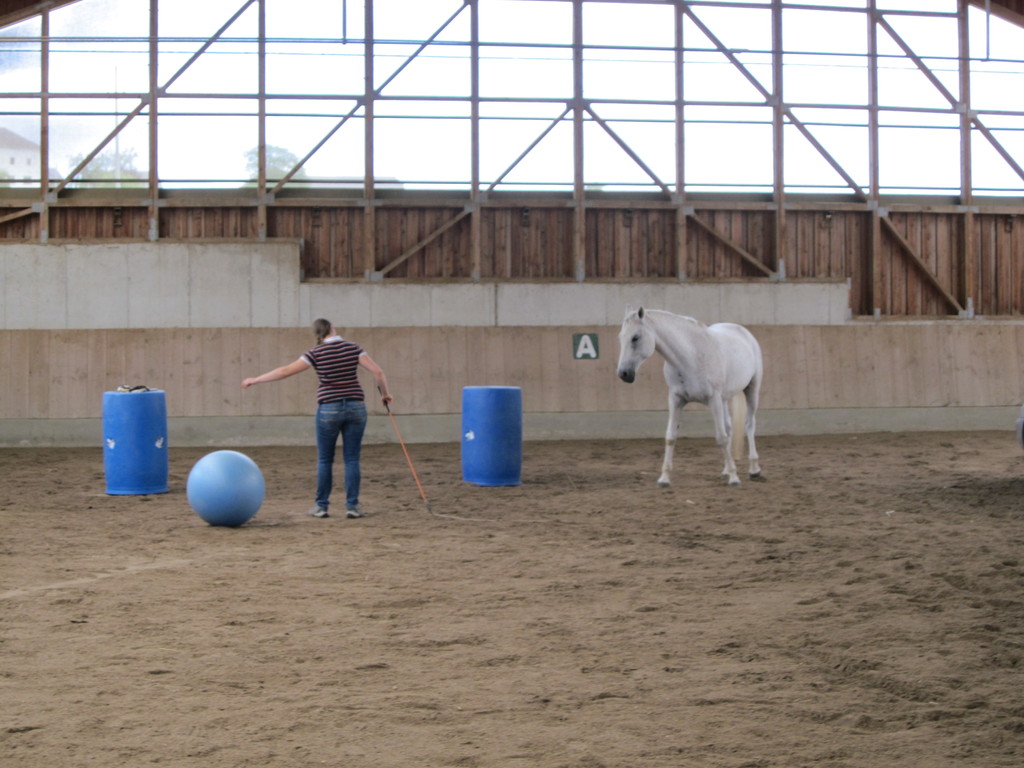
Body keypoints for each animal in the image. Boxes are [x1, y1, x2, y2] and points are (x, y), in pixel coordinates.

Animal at [614, 307, 761, 487]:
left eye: (635, 337)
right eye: (621, 337)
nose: (623, 374)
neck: (690, 357)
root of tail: (743, 331)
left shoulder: (713, 400)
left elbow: (721, 437)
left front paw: (734, 478)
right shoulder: (676, 400)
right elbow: (670, 437)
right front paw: (664, 478)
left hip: (751, 390)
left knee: (749, 425)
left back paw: (754, 469)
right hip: (724, 399)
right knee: (729, 427)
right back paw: (727, 469)